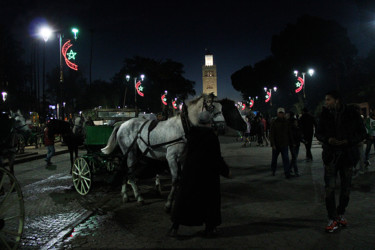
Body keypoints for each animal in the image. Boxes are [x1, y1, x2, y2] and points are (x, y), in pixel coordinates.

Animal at [101, 94, 247, 211]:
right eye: (219, 110)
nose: (244, 126)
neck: (183, 127)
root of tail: (122, 124)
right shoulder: (171, 157)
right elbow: (175, 179)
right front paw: (169, 203)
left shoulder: (182, 158)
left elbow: (181, 178)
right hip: (130, 152)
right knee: (130, 174)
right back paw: (139, 197)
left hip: (129, 153)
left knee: (124, 171)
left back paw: (125, 195)